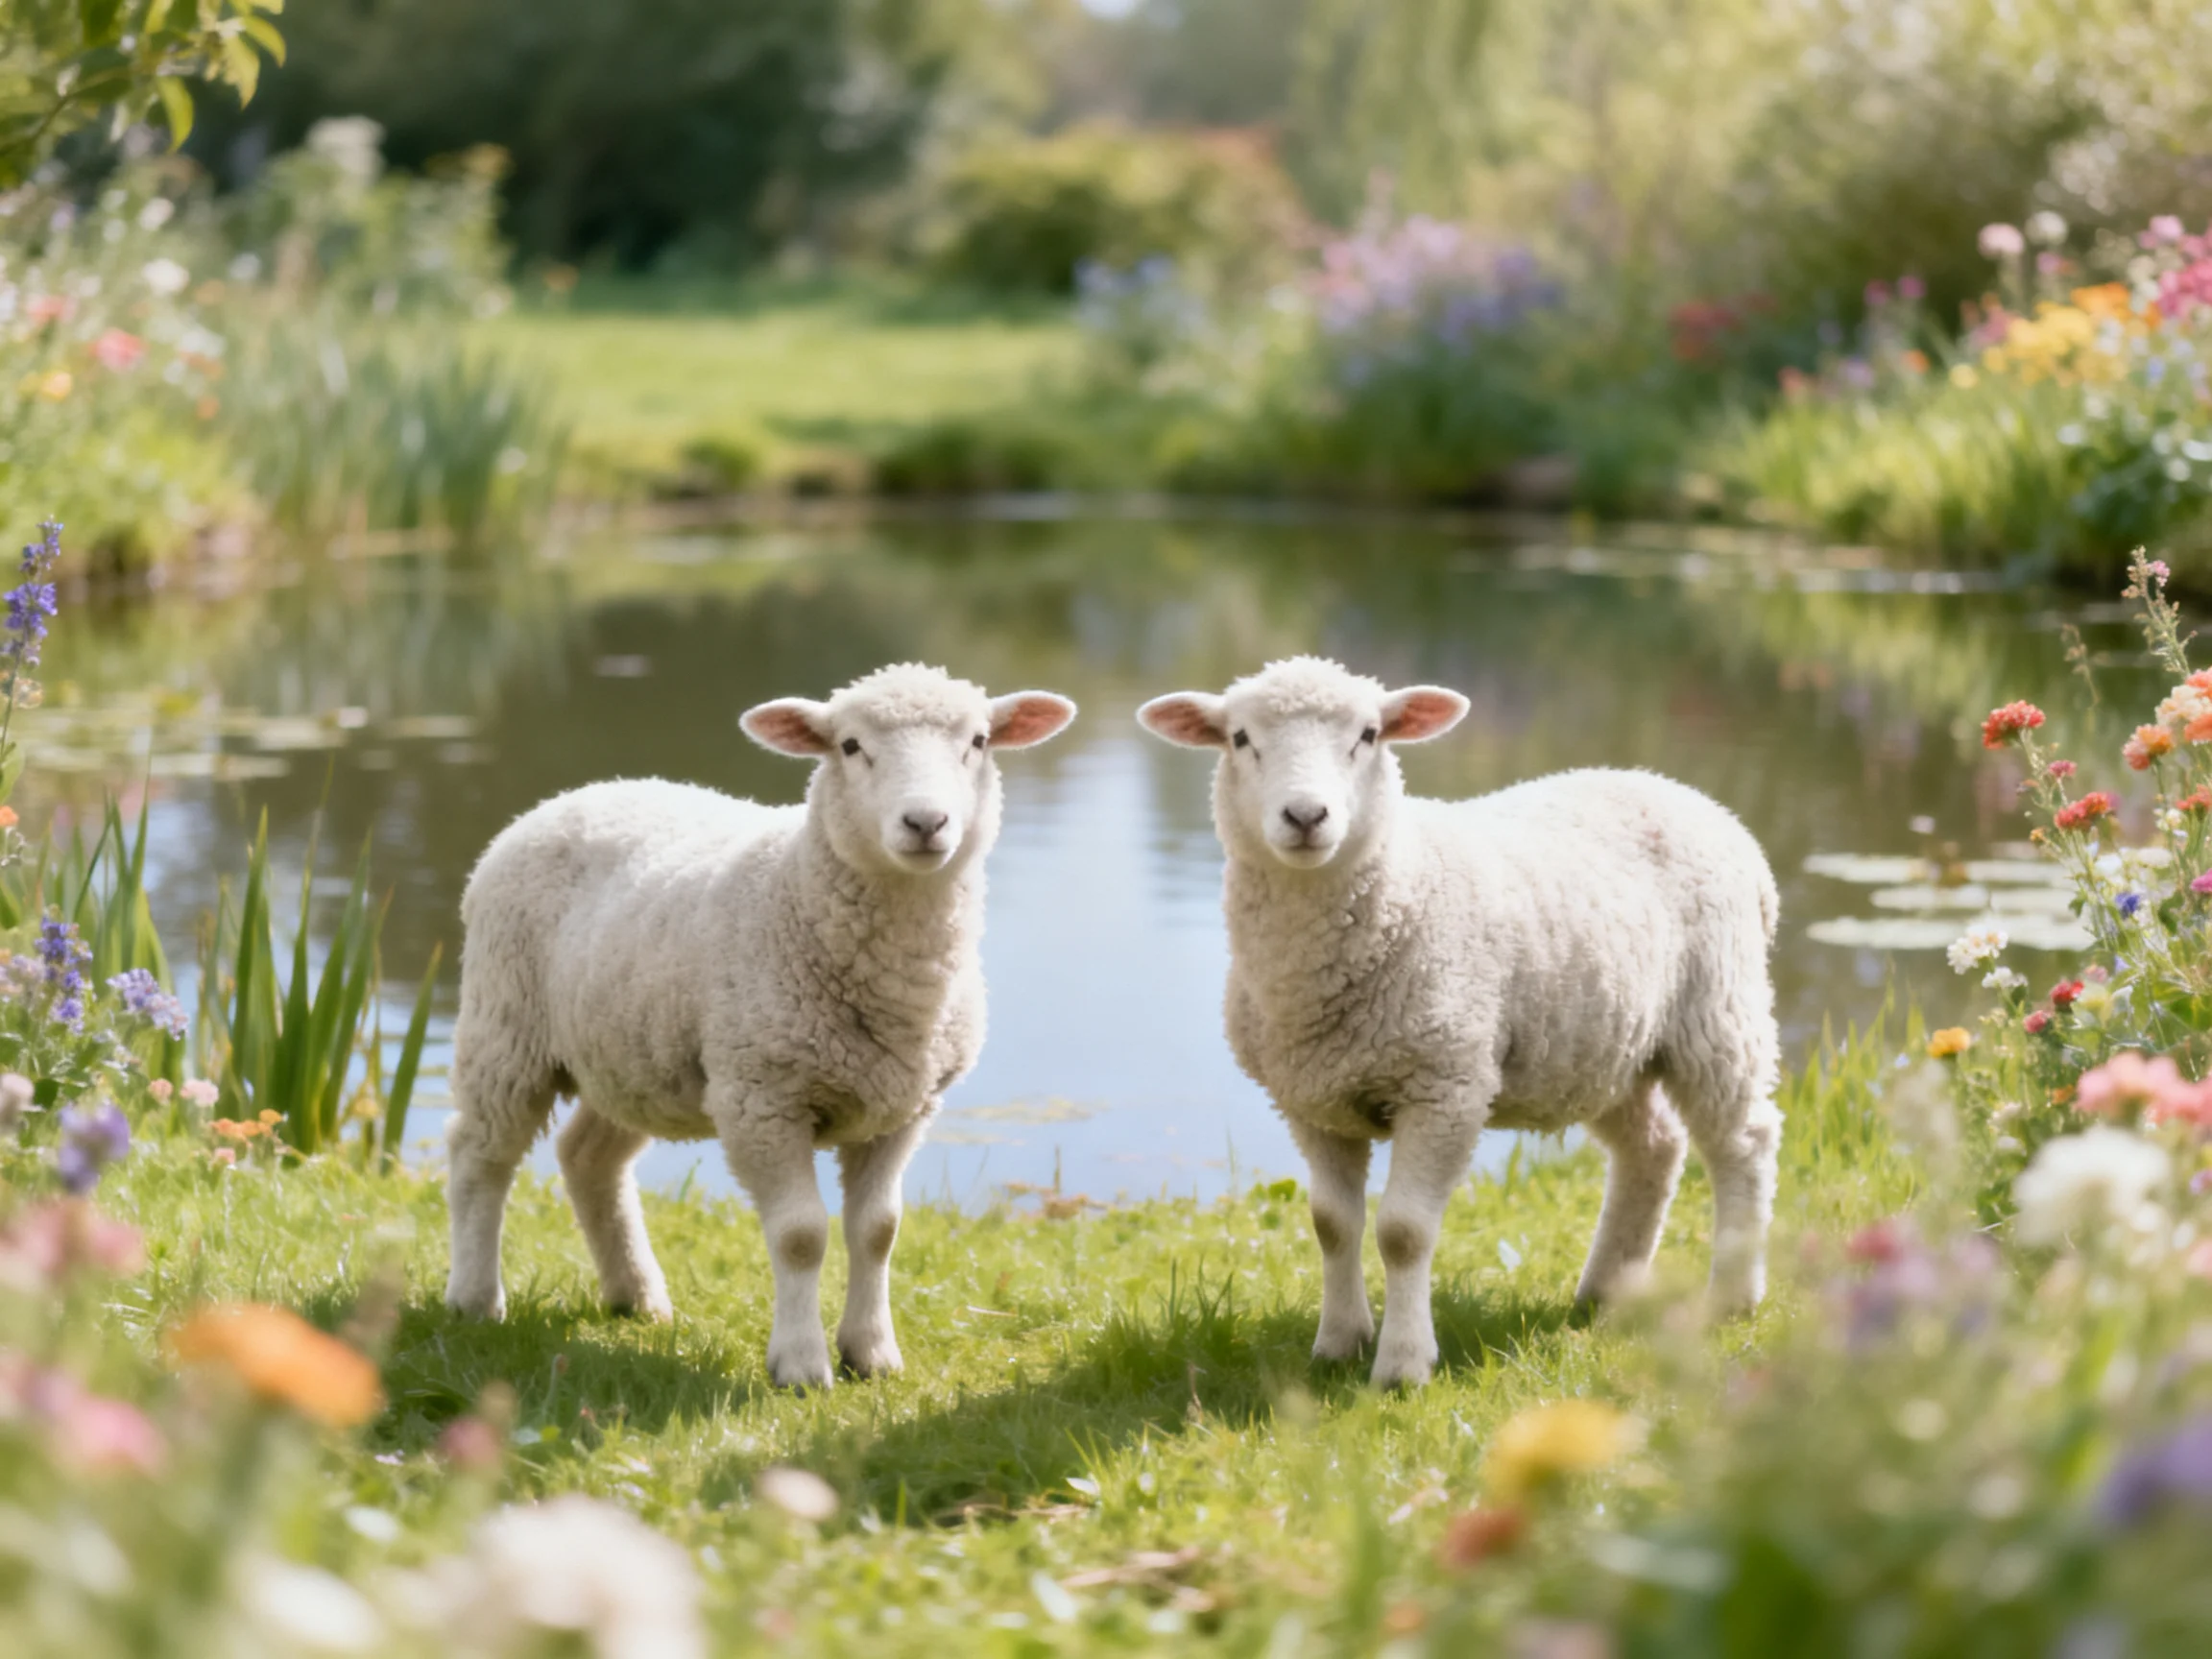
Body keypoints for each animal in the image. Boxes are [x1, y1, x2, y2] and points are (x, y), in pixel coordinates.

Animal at [442, 663, 1077, 1388]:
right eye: (850, 746)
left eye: (978, 741)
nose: (925, 821)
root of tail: (578, 793)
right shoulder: (761, 1097)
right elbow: (800, 1235)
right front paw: (801, 1366)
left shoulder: (904, 1109)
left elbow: (878, 1229)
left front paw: (872, 1354)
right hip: (506, 1024)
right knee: (480, 1155)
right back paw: (474, 1298)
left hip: (630, 1055)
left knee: (587, 1158)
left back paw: (635, 1295)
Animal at [1137, 656, 1781, 1387]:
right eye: (1240, 738)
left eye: (1369, 734)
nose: (1306, 815)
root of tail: (1690, 797)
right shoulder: (1312, 1101)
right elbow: (1332, 1223)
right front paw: (1338, 1343)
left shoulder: (1445, 1084)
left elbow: (1402, 1232)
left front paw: (1402, 1365)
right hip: (1603, 1043)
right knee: (1654, 1147)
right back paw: (1605, 1290)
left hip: (1718, 1010)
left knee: (1744, 1142)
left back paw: (1733, 1296)